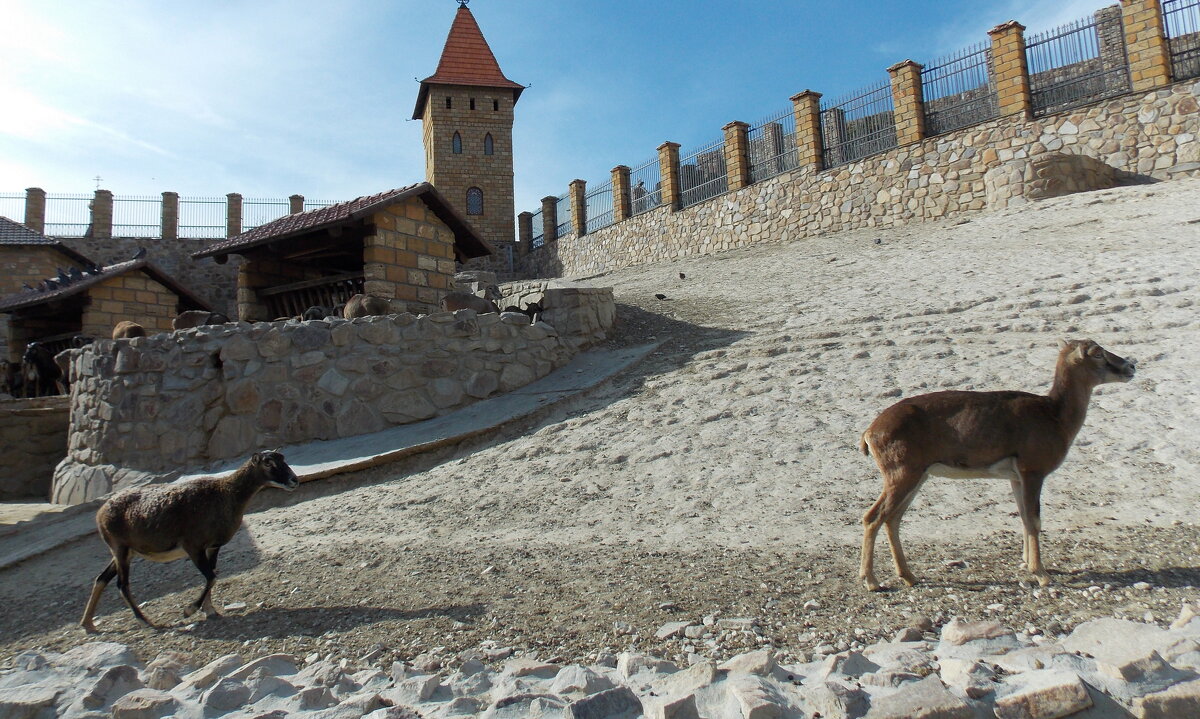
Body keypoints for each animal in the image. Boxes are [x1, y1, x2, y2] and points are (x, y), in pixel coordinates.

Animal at [81, 453, 300, 633]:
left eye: (282, 459)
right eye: (268, 462)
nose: (294, 480)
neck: (226, 494)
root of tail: (100, 515)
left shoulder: (213, 547)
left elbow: (212, 576)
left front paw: (210, 611)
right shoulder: (193, 547)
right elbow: (211, 577)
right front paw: (189, 610)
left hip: (124, 552)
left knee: (101, 579)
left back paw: (88, 624)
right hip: (121, 549)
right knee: (122, 584)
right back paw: (146, 622)